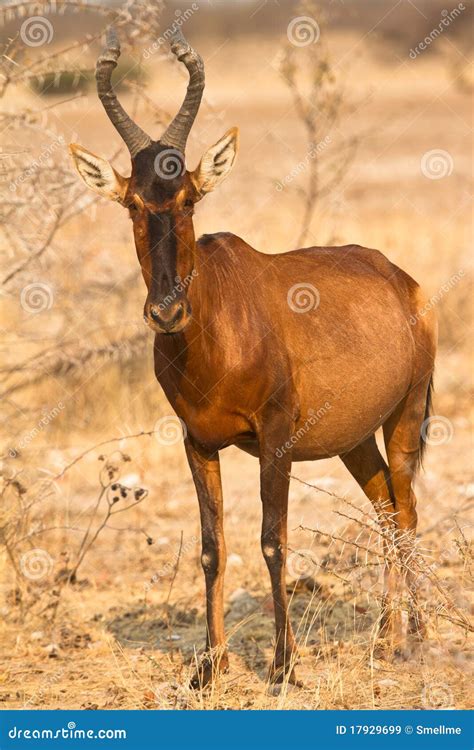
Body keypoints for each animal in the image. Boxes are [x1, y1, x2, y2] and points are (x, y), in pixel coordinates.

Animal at [69, 27, 436, 688]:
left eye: (189, 197)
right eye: (132, 202)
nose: (166, 312)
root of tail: (404, 280)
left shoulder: (275, 437)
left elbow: (272, 539)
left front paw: (285, 666)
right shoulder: (197, 441)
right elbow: (212, 545)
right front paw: (209, 667)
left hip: (405, 418)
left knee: (408, 511)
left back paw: (414, 641)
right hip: (352, 439)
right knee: (385, 510)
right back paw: (386, 638)